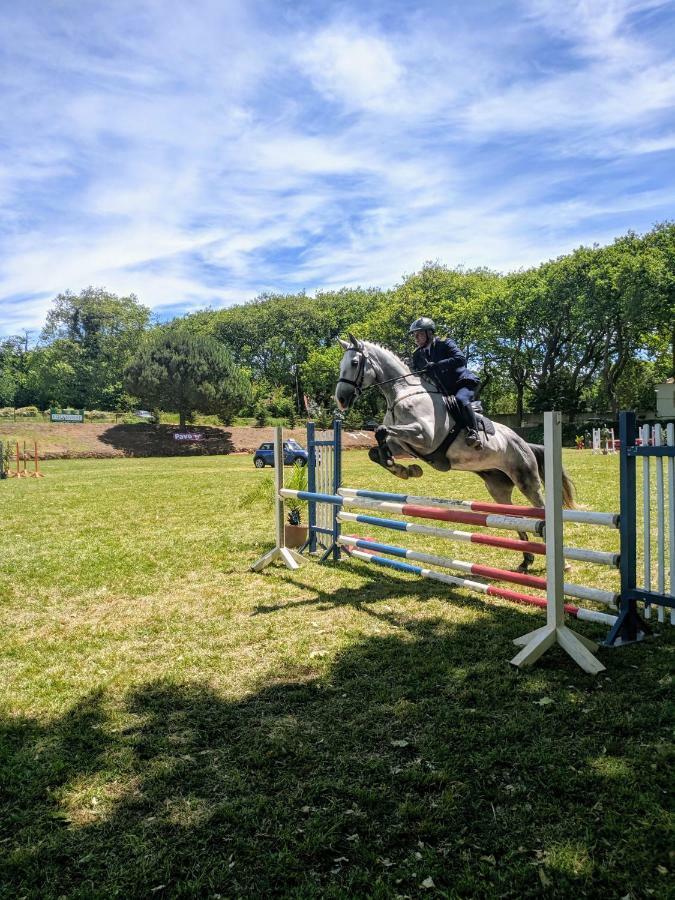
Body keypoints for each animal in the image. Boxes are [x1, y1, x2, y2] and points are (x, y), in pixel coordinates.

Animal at [334, 334, 576, 572]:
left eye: (354, 363)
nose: (341, 400)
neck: (403, 394)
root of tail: (524, 442)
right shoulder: (404, 445)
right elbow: (376, 450)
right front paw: (404, 469)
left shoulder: (425, 437)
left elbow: (381, 430)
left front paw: (405, 469)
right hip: (497, 489)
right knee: (513, 516)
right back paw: (526, 560)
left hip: (526, 479)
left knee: (540, 510)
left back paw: (564, 565)